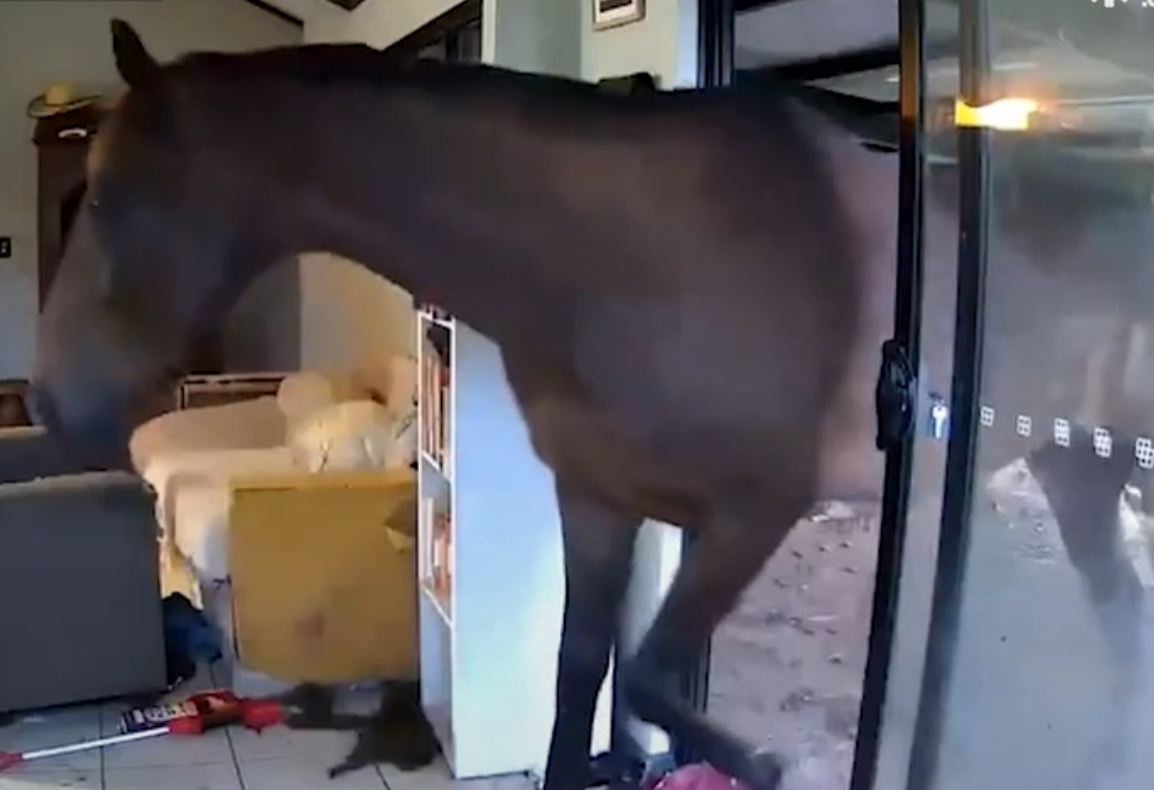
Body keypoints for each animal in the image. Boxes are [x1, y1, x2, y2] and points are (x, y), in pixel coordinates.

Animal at [29, 18, 1154, 790]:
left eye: (116, 199)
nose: (46, 400)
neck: (623, 262)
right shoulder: (597, 501)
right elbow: (581, 680)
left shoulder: (752, 513)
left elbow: (648, 676)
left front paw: (759, 760)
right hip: (1077, 472)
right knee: (1121, 622)